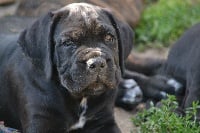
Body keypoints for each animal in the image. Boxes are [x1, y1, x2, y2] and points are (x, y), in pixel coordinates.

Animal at [0, 2, 134, 132]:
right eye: (68, 43)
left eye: (109, 38)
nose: (96, 62)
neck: (80, 98)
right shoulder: (41, 121)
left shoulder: (103, 121)